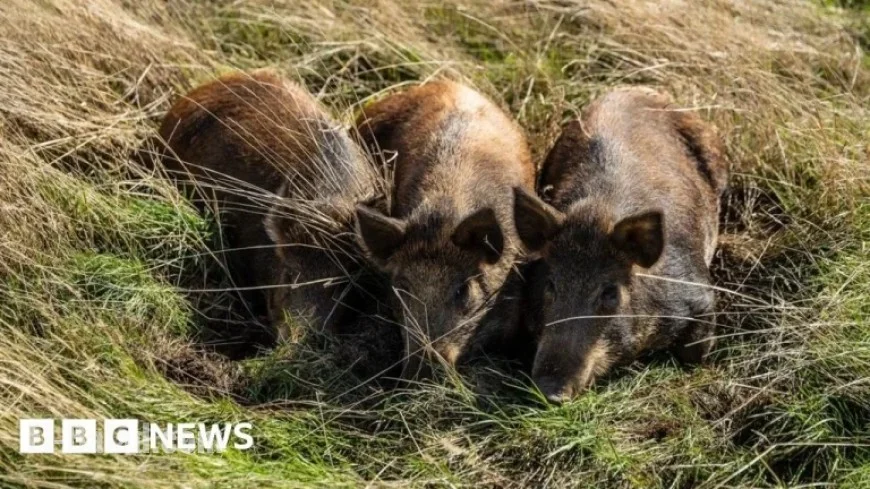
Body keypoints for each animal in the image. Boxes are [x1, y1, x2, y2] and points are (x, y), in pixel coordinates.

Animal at [513, 87, 728, 403]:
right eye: (550, 285)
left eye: (610, 292)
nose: (550, 392)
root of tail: (635, 89)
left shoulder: (700, 295)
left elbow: (695, 353)